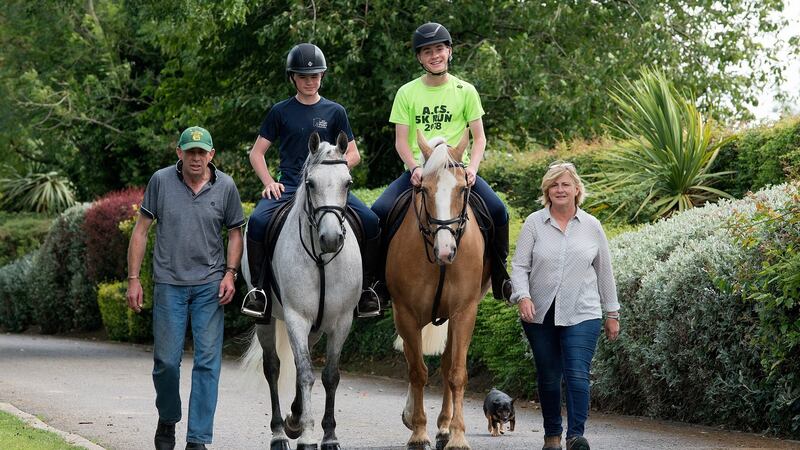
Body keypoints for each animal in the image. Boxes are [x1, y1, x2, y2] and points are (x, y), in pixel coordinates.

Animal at [241, 131, 360, 450]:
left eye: (348, 183)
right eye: (311, 183)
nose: (331, 239)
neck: (321, 259)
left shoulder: (341, 321)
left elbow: (330, 375)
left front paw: (329, 436)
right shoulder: (296, 318)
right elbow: (306, 374)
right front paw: (307, 436)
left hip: (316, 327)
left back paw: (293, 419)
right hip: (267, 319)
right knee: (274, 367)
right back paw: (280, 432)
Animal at [390, 130, 494, 450]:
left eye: (462, 189)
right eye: (424, 189)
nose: (446, 251)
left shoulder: (464, 311)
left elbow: (456, 372)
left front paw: (457, 436)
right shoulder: (406, 313)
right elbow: (417, 371)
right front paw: (418, 432)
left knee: (448, 364)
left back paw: (445, 428)